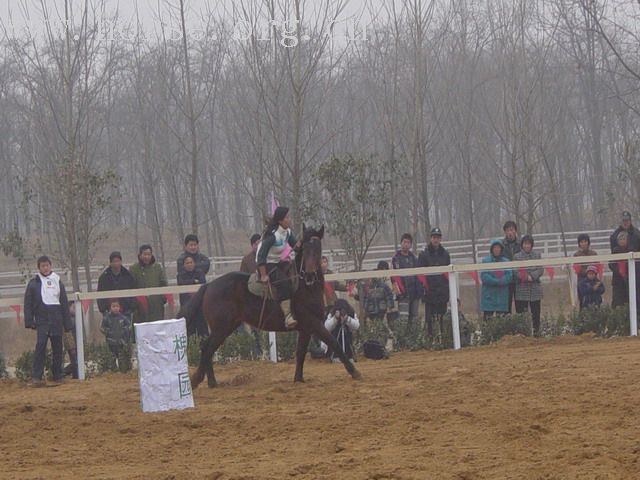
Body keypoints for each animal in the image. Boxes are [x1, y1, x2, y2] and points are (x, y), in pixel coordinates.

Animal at [178, 223, 362, 388]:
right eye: (305, 248)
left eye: (317, 248)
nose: (310, 274)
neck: (305, 287)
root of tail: (209, 285)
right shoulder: (314, 324)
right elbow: (334, 343)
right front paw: (354, 372)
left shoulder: (305, 329)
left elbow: (301, 353)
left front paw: (298, 379)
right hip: (221, 327)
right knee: (206, 348)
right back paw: (200, 380)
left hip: (226, 327)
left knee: (208, 349)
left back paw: (210, 381)